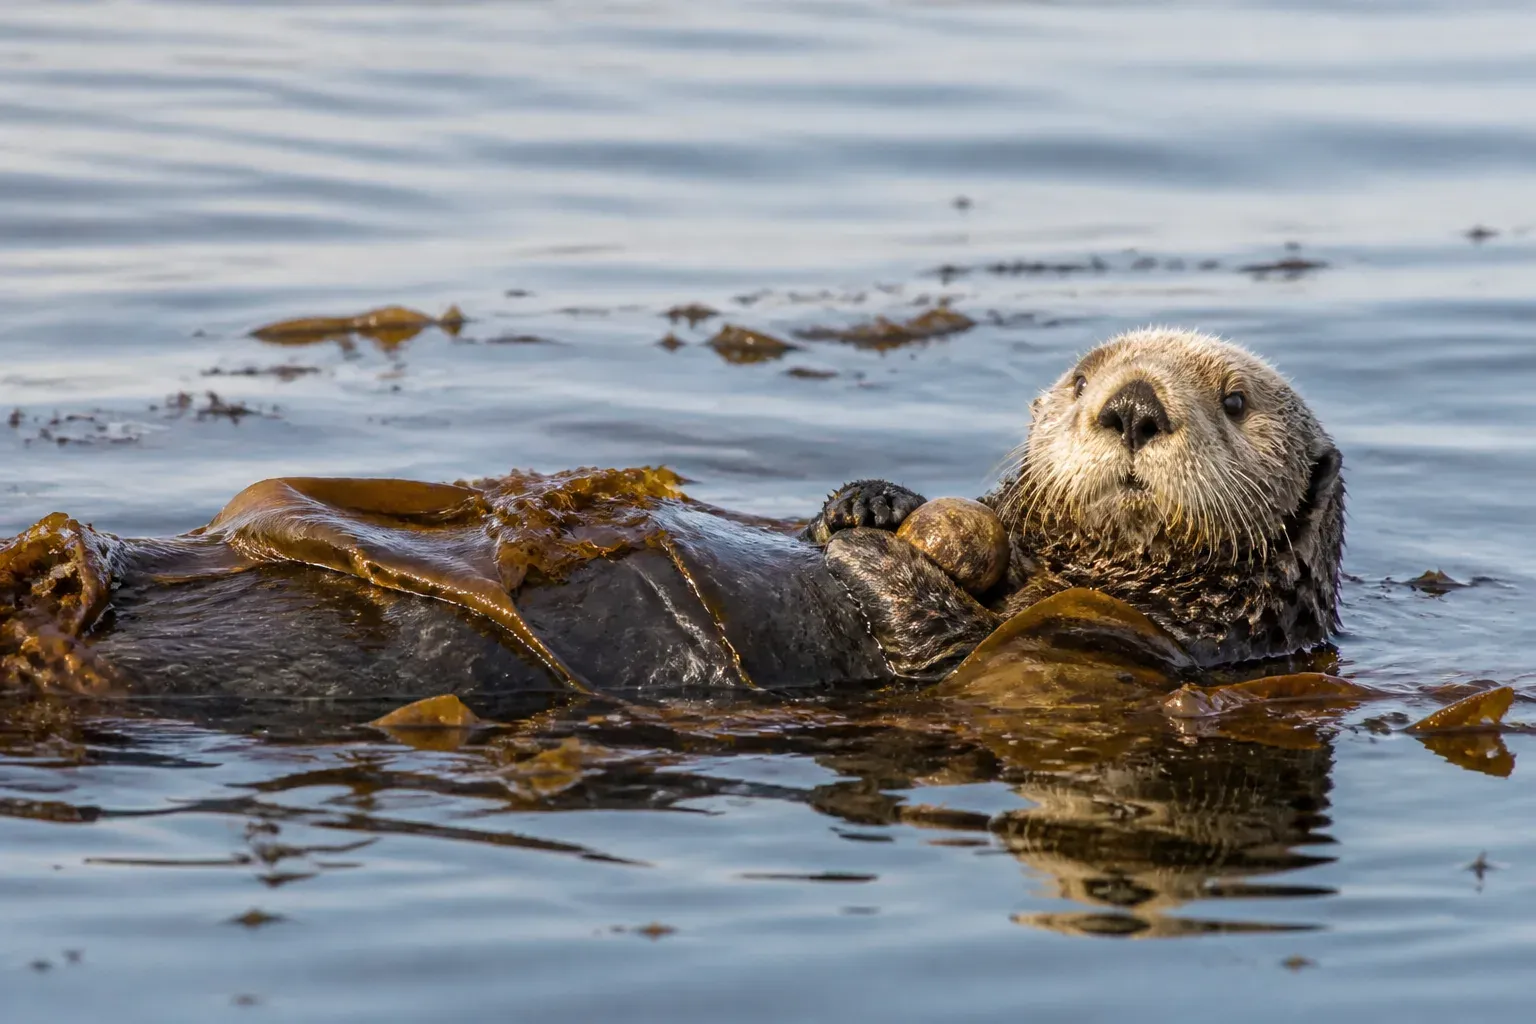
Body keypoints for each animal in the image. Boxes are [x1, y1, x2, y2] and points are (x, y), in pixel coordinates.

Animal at [807, 328, 1344, 676]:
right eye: (1081, 382)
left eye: (1235, 402)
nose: (1134, 407)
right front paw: (869, 502)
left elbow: (967, 647)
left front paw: (875, 555)